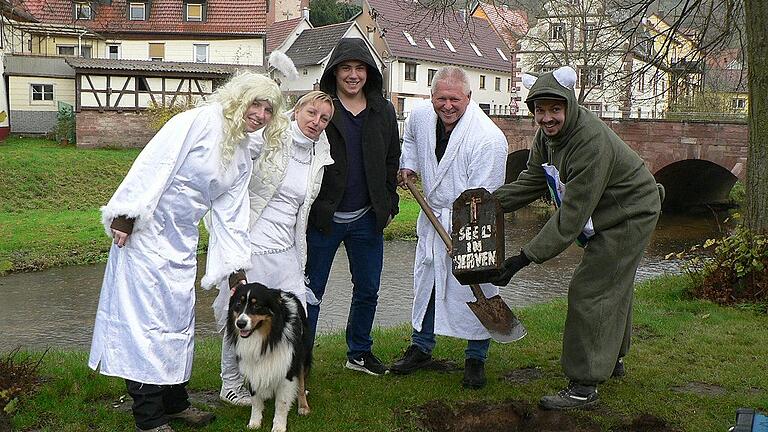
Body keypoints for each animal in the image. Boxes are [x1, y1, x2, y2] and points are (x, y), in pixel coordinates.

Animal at [228, 282, 312, 430]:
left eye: (256, 306)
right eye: (238, 303)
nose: (240, 324)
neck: (265, 338)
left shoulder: (287, 369)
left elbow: (281, 403)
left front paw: (279, 427)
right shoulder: (252, 367)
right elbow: (255, 399)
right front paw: (254, 423)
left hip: (301, 356)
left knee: (301, 382)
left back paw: (303, 406)